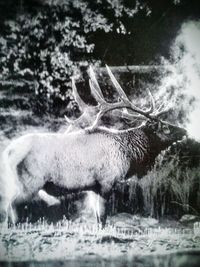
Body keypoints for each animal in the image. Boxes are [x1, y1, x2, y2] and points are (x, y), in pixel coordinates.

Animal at [0, 66, 186, 228]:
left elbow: (97, 217)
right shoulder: (107, 182)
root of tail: (8, 152)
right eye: (164, 126)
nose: (184, 131)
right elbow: (102, 218)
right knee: (11, 207)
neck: (128, 155)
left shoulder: (93, 187)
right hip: (30, 183)